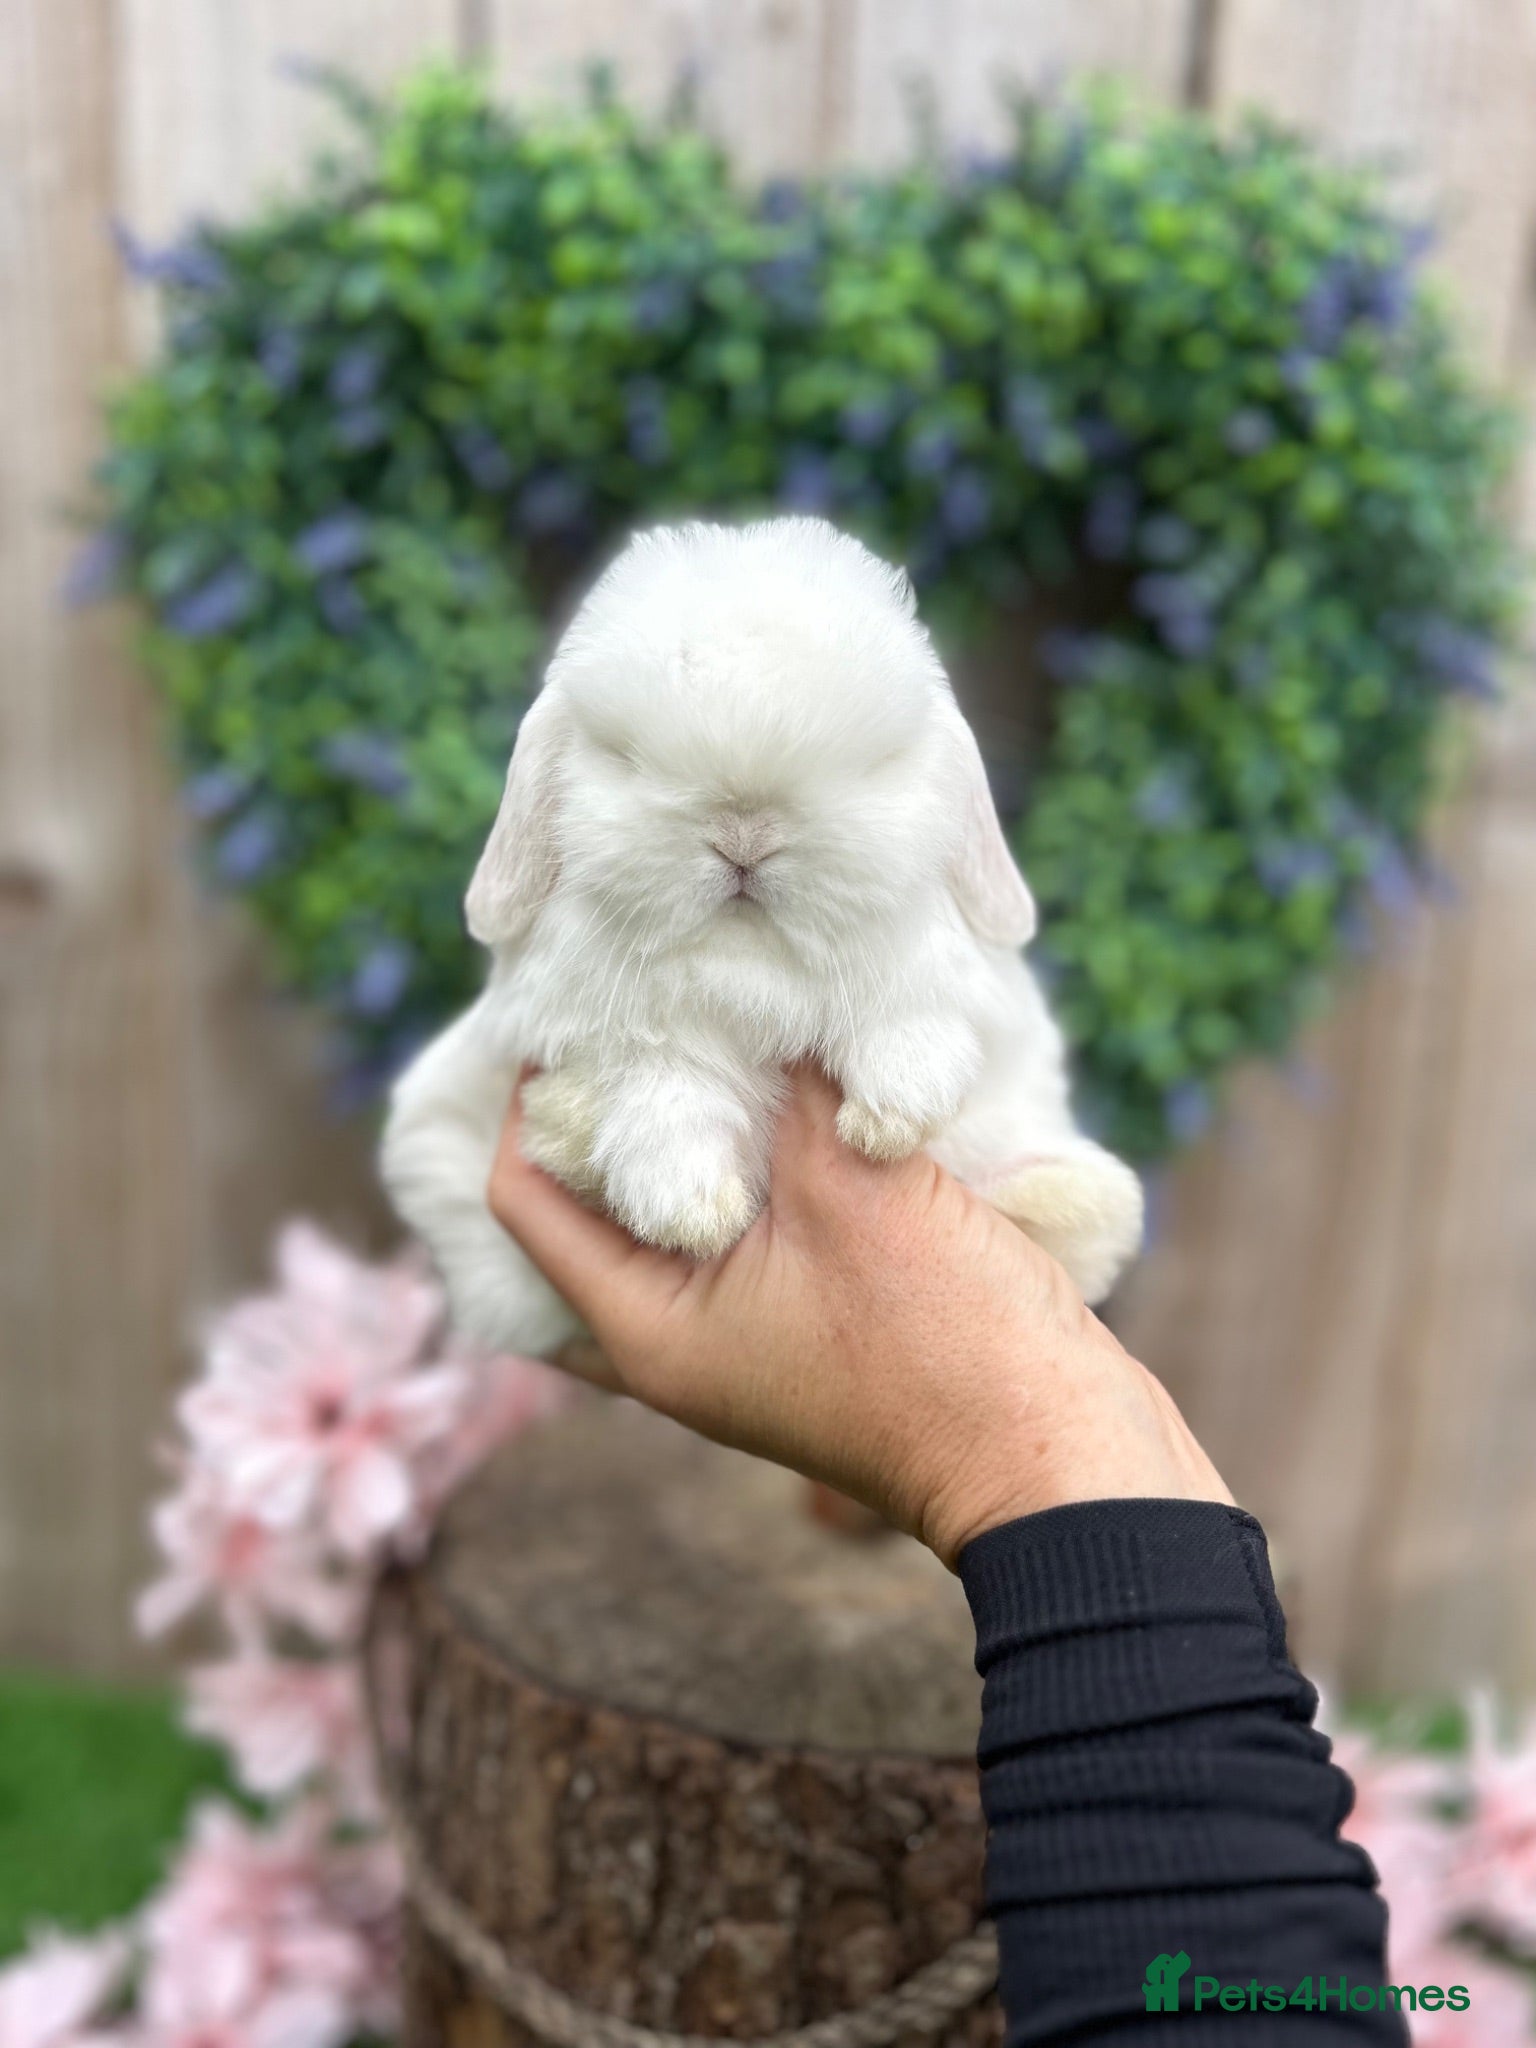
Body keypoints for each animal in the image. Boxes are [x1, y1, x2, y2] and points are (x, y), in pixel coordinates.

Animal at [381, 516, 1143, 1357]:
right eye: (622, 758)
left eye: (875, 762)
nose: (744, 836)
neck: (751, 968)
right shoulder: (600, 1034)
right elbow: (662, 1084)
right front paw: (688, 1208)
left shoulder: (945, 986)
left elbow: (915, 1019)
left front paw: (891, 1114)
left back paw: (1055, 1194)